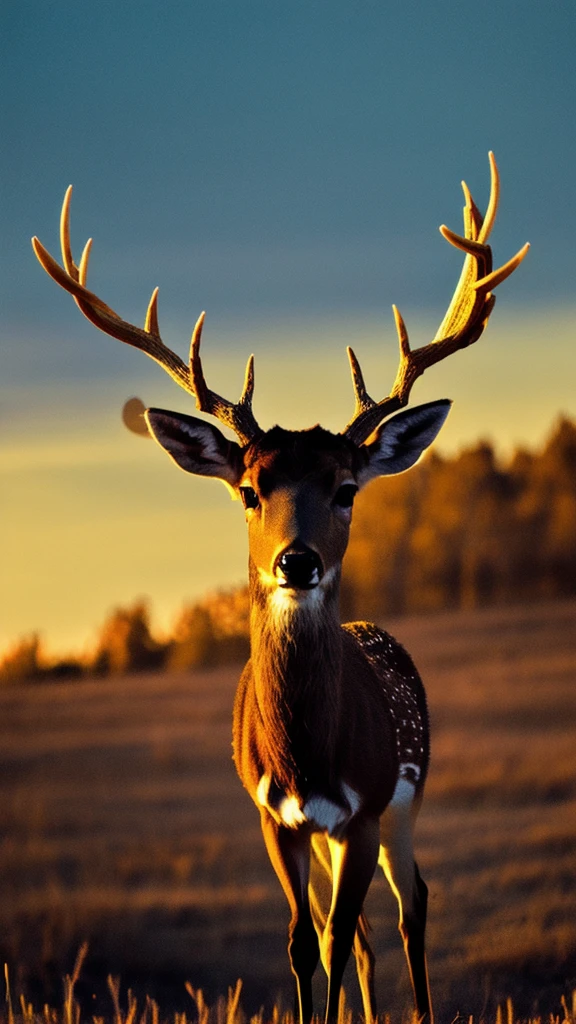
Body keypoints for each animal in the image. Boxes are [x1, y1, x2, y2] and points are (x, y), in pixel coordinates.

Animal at [31, 153, 524, 1024]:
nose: (298, 562)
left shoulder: (364, 808)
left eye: (348, 488)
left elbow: (337, 934)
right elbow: (305, 943)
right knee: (364, 933)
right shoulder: (274, 815)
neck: (305, 761)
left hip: (406, 801)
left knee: (412, 904)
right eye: (250, 489)